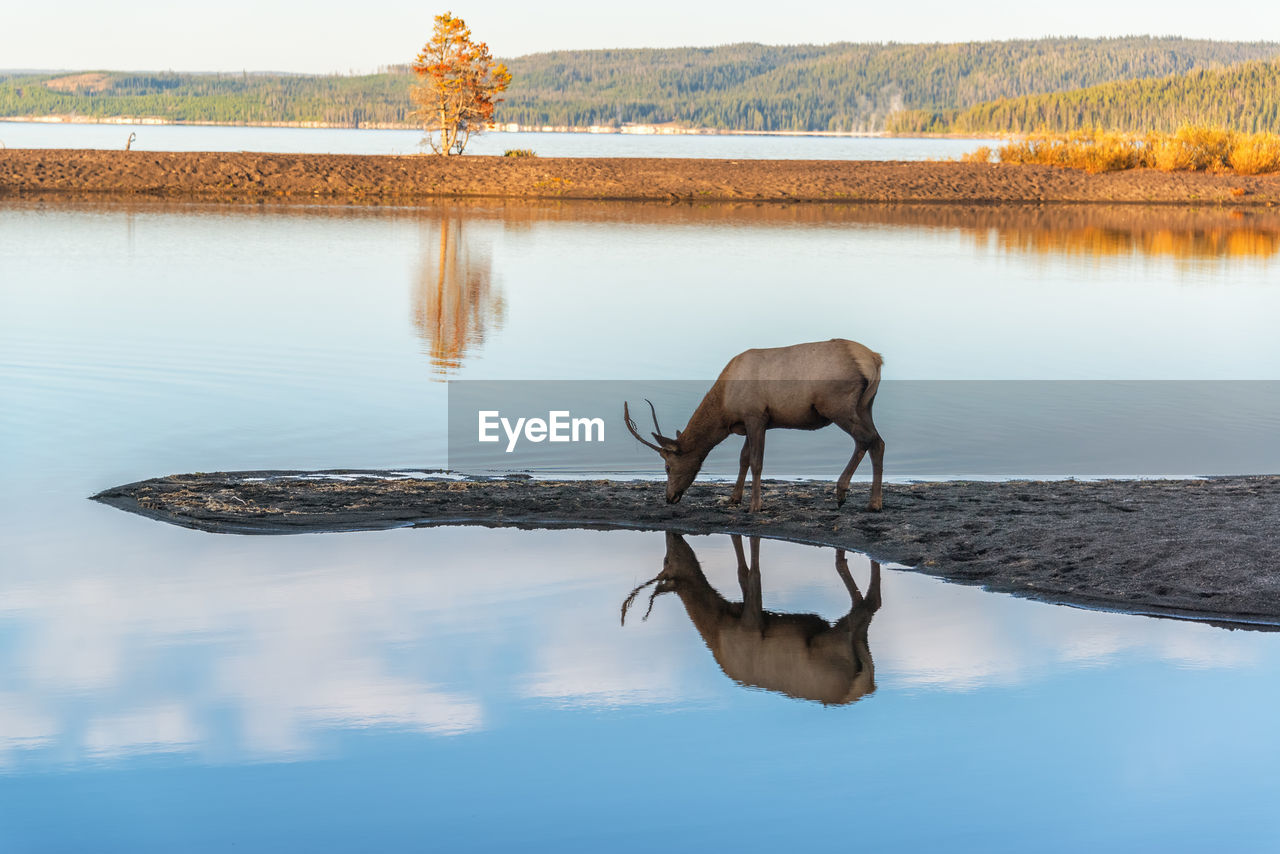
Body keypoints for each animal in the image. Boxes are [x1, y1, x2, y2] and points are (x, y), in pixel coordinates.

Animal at [619, 535, 880, 706]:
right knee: (870, 605)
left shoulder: (752, 622)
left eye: (666, 561)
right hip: (860, 641)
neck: (718, 623)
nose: (672, 542)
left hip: (834, 639)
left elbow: (751, 574)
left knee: (866, 604)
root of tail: (866, 685)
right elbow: (742, 574)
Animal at [624, 338, 885, 514]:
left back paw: (849, 495)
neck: (725, 409)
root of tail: (875, 360)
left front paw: (755, 505)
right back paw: (868, 501)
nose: (669, 497)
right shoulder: (753, 422)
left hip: (837, 404)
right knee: (876, 441)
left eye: (667, 466)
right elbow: (744, 458)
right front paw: (734, 498)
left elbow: (757, 462)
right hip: (865, 406)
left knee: (867, 439)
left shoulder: (756, 415)